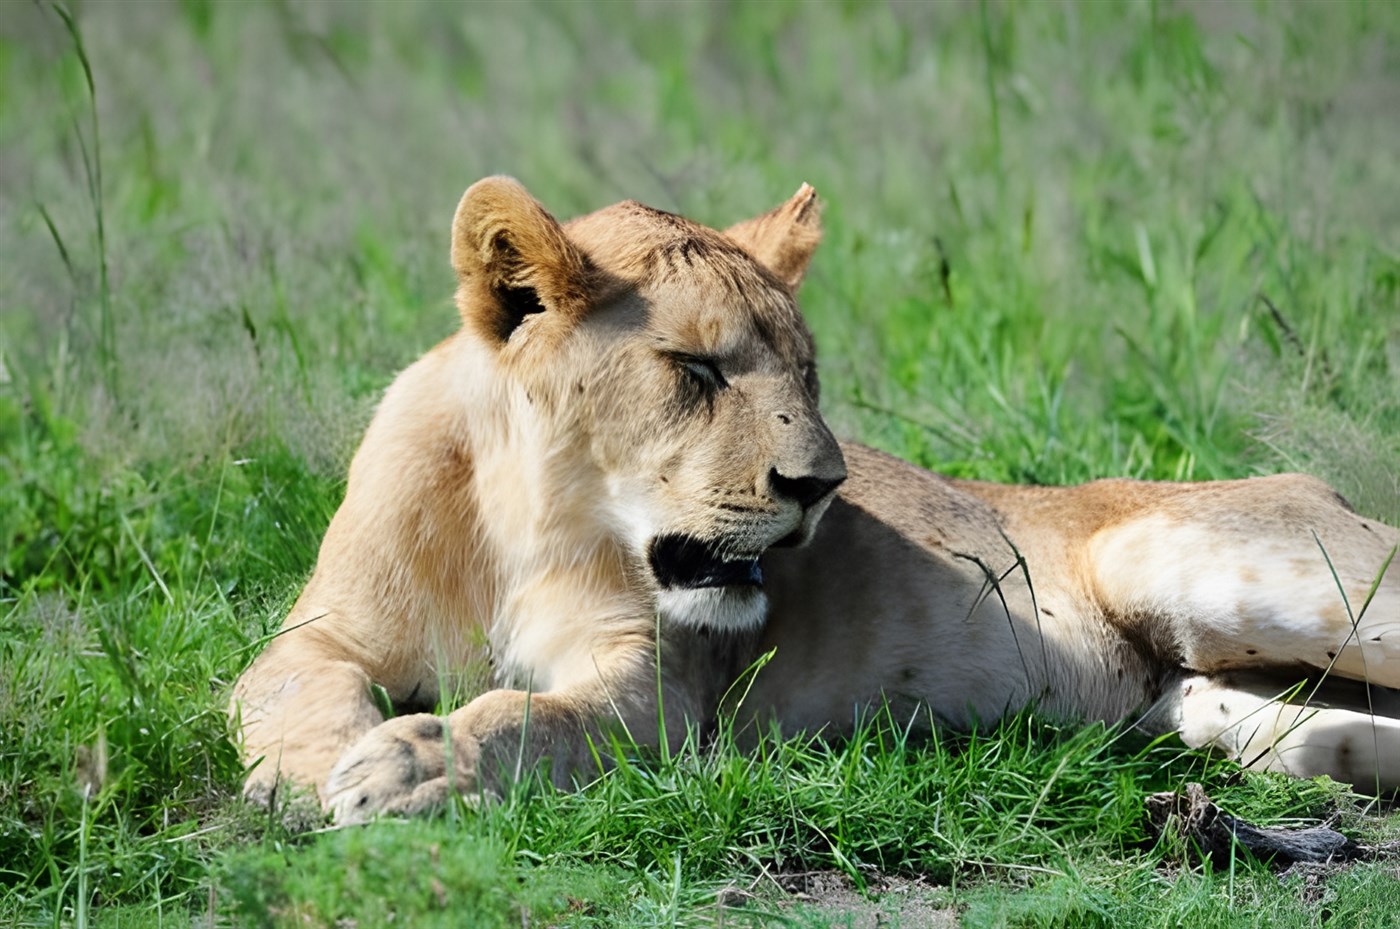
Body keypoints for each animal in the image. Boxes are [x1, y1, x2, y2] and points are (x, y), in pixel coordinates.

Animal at [232, 177, 1400, 824]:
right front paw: (313, 771)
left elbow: (535, 715)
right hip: (1205, 703)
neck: (523, 520)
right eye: (696, 370)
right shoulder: (323, 630)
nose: (821, 486)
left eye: (805, 370)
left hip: (1192, 561)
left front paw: (416, 761)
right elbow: (285, 689)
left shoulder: (655, 685)